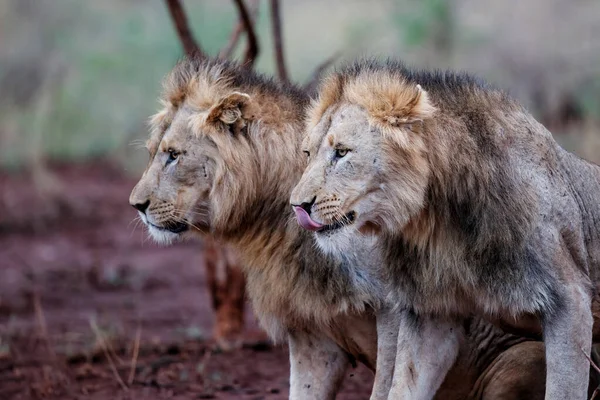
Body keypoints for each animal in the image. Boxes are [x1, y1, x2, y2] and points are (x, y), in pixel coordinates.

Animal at [126, 56, 564, 400]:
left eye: (173, 155)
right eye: (153, 153)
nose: (136, 206)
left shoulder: (393, 308)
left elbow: (386, 386)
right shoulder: (310, 334)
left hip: (518, 360)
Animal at [290, 57, 600, 398]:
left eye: (342, 152)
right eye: (307, 153)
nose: (297, 206)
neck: (440, 219)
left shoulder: (569, 301)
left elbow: (564, 389)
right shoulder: (431, 310)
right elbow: (403, 386)